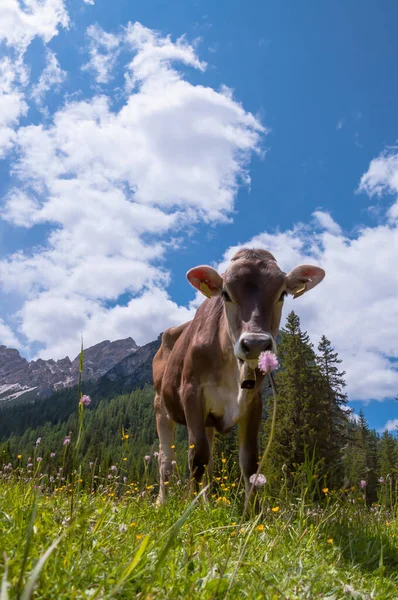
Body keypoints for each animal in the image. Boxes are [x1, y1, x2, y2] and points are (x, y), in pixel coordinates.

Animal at [152, 246, 324, 504]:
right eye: (226, 293)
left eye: (282, 294)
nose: (255, 343)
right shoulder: (192, 392)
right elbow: (197, 456)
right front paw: (190, 508)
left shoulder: (253, 402)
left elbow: (249, 462)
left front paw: (253, 511)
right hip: (161, 406)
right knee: (166, 462)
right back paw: (162, 503)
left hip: (208, 419)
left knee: (210, 462)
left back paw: (206, 504)